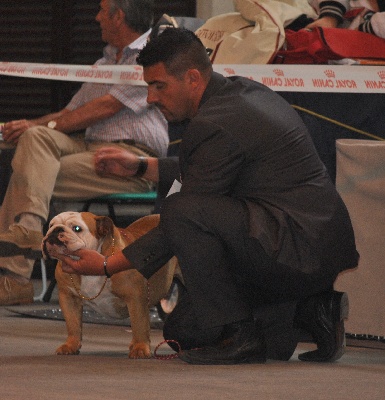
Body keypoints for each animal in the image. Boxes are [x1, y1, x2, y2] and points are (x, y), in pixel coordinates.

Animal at [42, 212, 178, 360]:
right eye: (51, 225)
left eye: (77, 228)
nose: (56, 230)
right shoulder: (68, 298)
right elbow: (73, 324)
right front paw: (70, 345)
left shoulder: (135, 298)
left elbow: (139, 324)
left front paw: (140, 348)